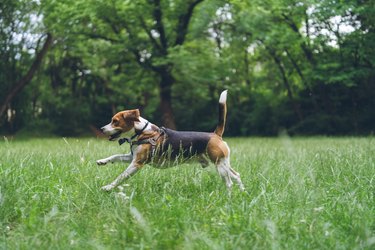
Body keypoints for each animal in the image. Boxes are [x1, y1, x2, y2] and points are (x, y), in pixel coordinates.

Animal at [95, 90, 245, 191]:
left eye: (115, 121)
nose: (102, 129)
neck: (143, 132)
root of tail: (215, 135)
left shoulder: (136, 163)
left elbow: (121, 177)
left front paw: (108, 187)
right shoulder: (132, 157)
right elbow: (115, 156)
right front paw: (102, 161)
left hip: (220, 165)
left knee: (229, 182)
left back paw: (228, 197)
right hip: (223, 163)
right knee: (237, 175)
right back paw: (242, 192)